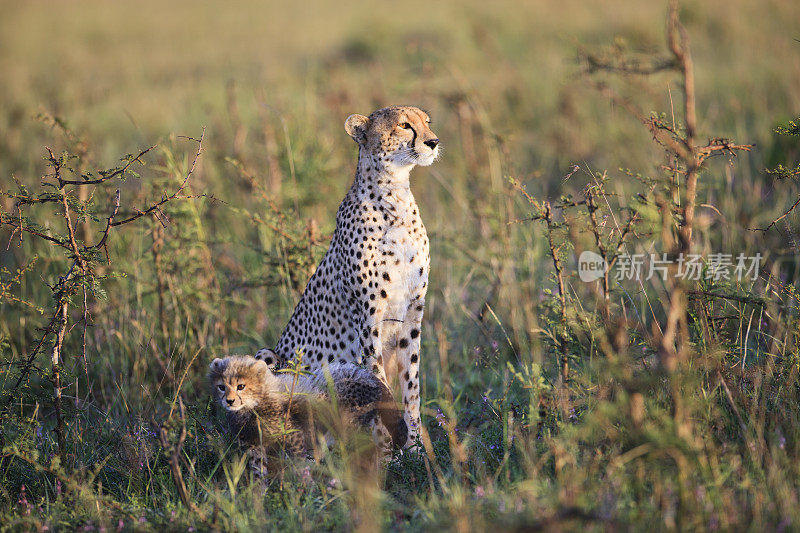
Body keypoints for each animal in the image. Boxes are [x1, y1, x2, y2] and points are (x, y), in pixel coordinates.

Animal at [256, 104, 440, 444]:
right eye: (404, 125)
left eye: (426, 122)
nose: (433, 142)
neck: (395, 196)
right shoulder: (369, 320)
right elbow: (379, 385)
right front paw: (390, 450)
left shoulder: (412, 313)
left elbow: (411, 386)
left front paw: (415, 447)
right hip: (269, 358)